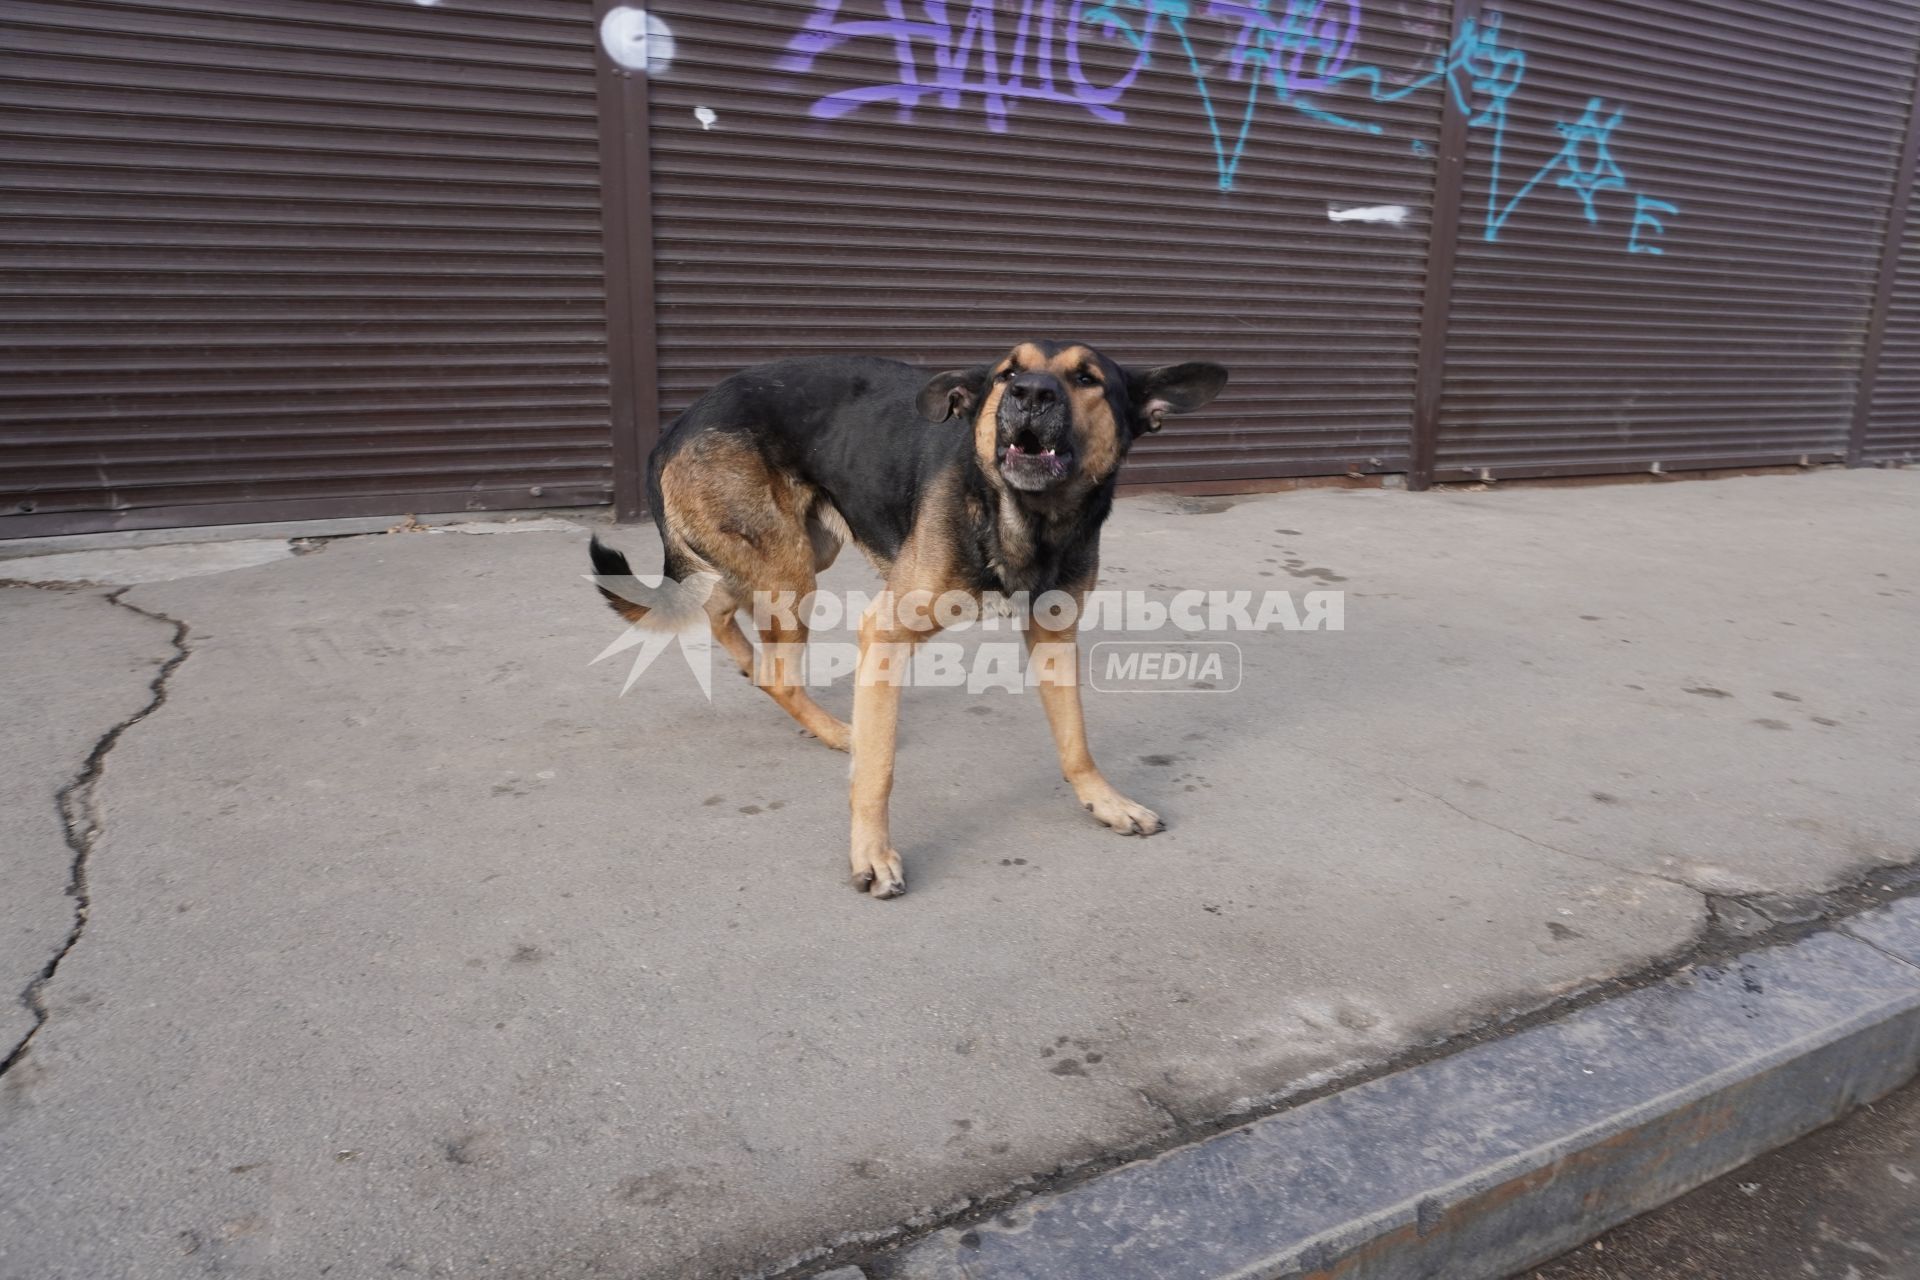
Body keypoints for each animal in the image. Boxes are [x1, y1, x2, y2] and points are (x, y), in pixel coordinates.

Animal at [583, 339, 1236, 901]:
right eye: (1007, 372)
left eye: (1086, 379)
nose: (1029, 394)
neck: (1026, 516)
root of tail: (674, 428)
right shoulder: (886, 631)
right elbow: (879, 770)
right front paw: (872, 854)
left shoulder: (1054, 634)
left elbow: (1075, 740)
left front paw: (1105, 801)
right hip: (791, 567)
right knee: (771, 663)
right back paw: (833, 727)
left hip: (804, 550)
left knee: (722, 608)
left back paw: (762, 675)